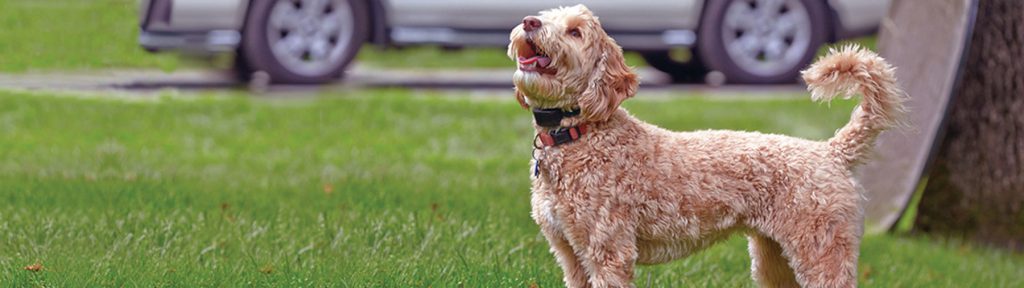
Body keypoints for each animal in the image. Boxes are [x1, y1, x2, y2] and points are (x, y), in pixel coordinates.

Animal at [507, 4, 909, 286]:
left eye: (575, 31)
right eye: (545, 17)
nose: (529, 22)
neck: (581, 133)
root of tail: (831, 151)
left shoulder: (608, 251)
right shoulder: (570, 254)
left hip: (821, 250)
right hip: (775, 258)